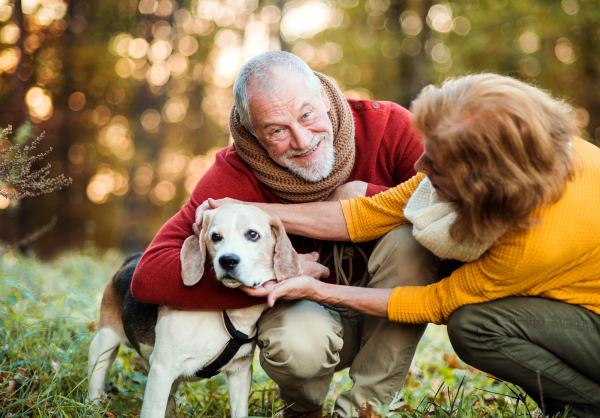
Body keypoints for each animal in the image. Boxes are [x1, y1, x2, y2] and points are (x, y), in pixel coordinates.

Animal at [88, 205, 300, 418]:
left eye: (253, 235)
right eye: (215, 236)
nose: (227, 260)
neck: (226, 314)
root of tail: (133, 257)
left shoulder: (240, 371)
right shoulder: (162, 369)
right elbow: (153, 410)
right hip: (105, 342)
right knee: (96, 379)